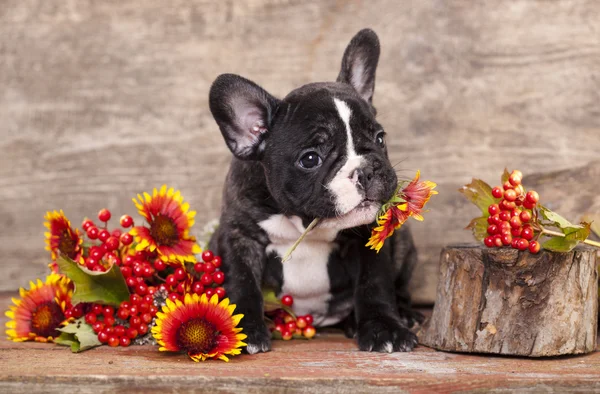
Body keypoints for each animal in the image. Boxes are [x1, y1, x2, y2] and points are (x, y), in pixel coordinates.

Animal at [210, 28, 422, 354]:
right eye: (310, 159)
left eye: (380, 138)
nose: (367, 170)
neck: (304, 225)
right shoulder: (239, 235)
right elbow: (241, 282)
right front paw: (241, 331)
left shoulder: (370, 238)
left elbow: (374, 283)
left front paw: (385, 328)